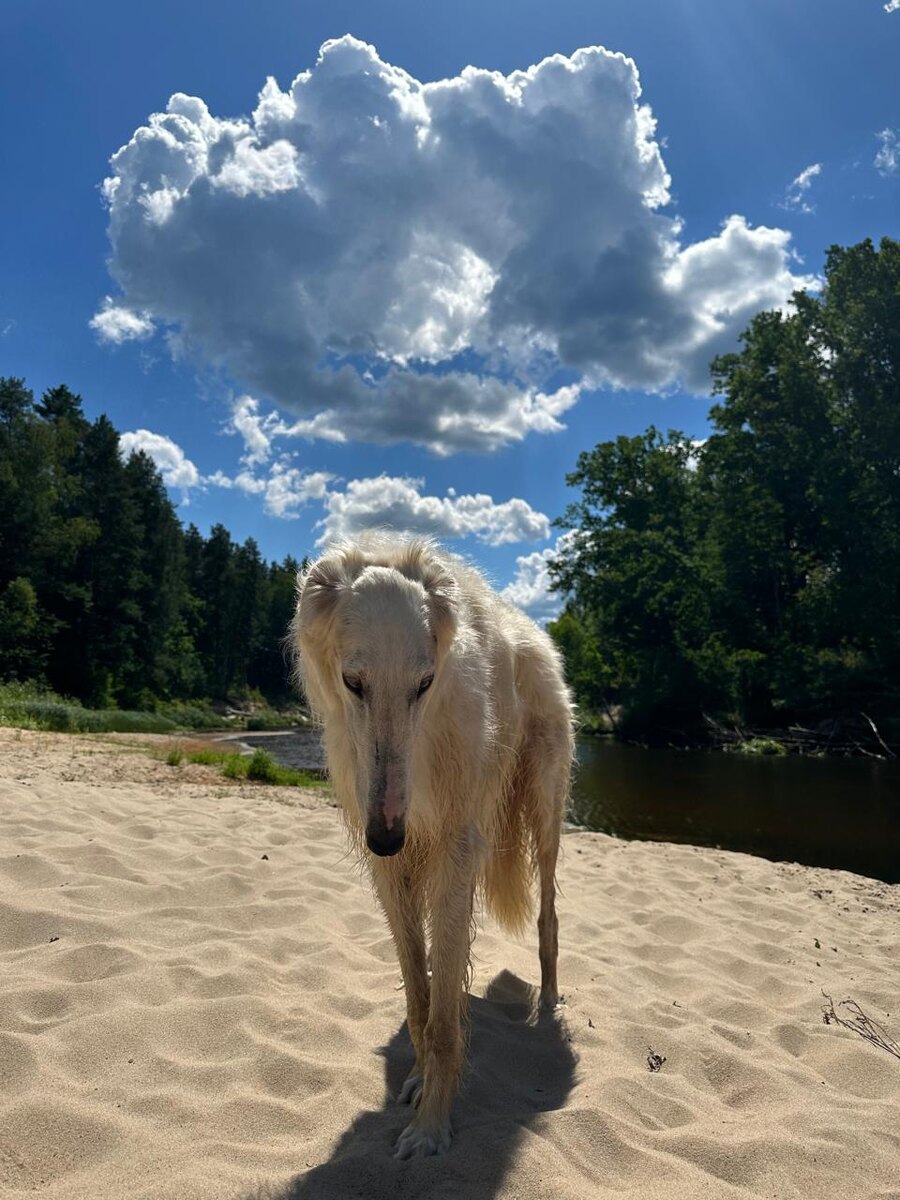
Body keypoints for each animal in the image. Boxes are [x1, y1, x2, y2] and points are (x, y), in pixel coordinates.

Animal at [292, 532, 573, 1152]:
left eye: (424, 684)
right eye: (353, 683)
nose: (385, 838)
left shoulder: (452, 848)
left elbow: (444, 1014)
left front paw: (430, 1128)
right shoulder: (392, 867)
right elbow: (420, 995)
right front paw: (420, 1081)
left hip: (545, 810)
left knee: (548, 917)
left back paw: (548, 1006)